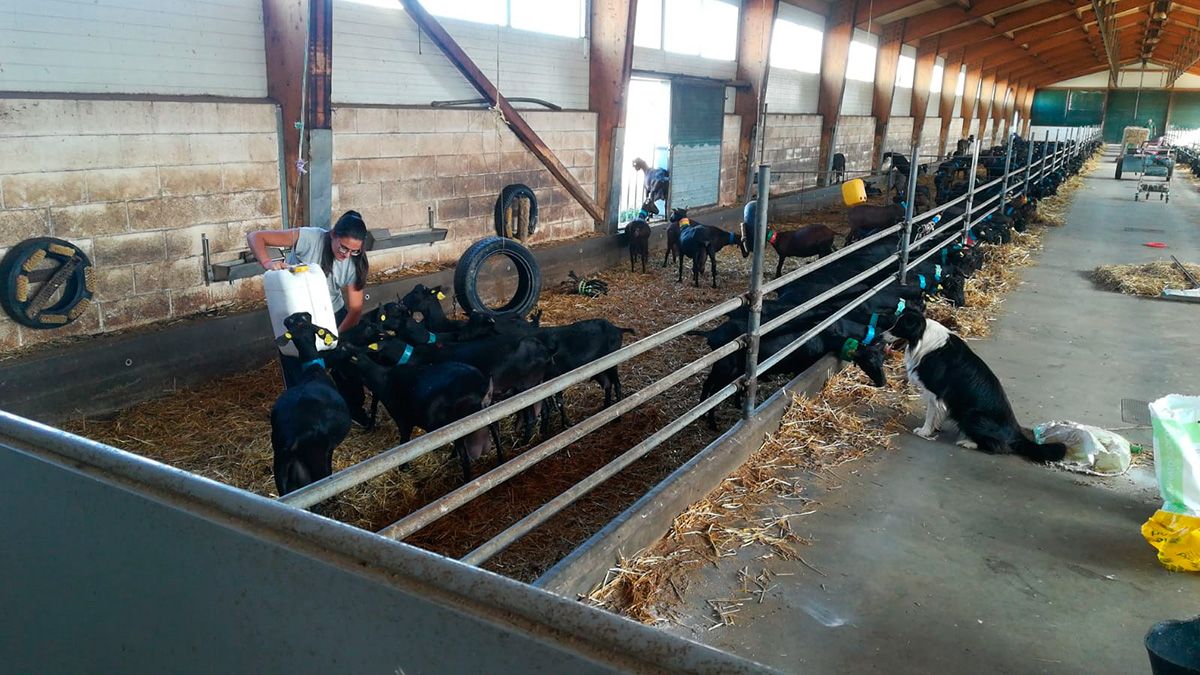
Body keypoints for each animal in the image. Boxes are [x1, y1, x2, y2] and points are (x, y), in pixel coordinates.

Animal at [883, 307, 1070, 458]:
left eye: (900, 326)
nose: (880, 335)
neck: (923, 337)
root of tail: (1016, 434)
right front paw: (935, 427)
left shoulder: (935, 391)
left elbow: (931, 414)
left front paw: (924, 431)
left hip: (972, 415)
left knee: (998, 446)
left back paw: (968, 442)